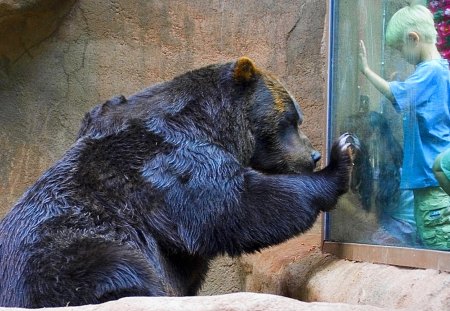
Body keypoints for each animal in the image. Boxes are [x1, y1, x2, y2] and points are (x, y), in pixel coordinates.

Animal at [0, 57, 358, 308]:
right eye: (291, 120)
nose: (312, 155)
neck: (209, 123)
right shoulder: (170, 162)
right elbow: (235, 204)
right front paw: (341, 159)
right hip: (64, 251)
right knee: (112, 267)